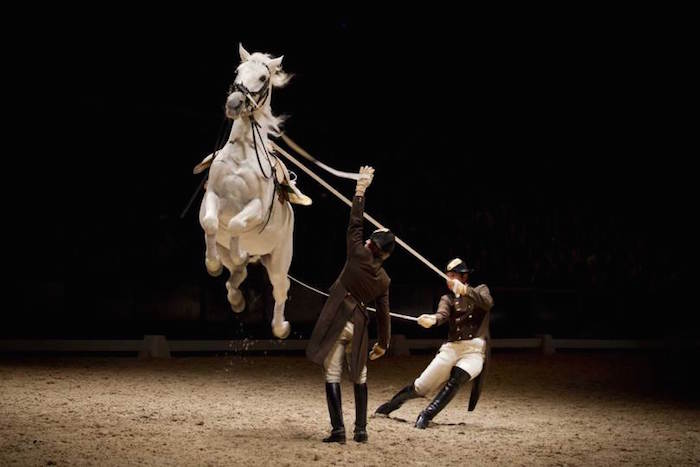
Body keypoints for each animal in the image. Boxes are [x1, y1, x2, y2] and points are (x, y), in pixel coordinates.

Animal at [196, 44, 308, 340]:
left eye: (263, 78)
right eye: (237, 71)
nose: (234, 103)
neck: (243, 152)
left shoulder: (256, 208)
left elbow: (236, 223)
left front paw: (239, 251)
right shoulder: (211, 197)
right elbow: (211, 223)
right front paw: (212, 265)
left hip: (279, 262)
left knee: (280, 290)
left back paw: (280, 327)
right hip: (231, 251)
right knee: (237, 275)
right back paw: (236, 298)